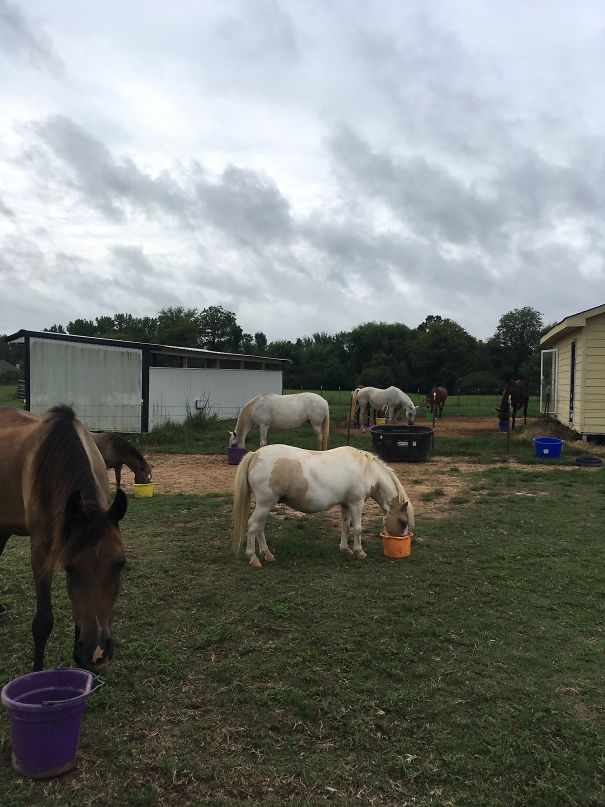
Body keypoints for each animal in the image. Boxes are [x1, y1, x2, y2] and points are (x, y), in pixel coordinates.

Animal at [0, 406, 127, 671]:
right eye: (69, 567)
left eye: (120, 564)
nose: (97, 650)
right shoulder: (41, 551)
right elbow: (43, 622)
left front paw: (84, 662)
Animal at [232, 444, 414, 568]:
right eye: (403, 522)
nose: (401, 540)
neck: (367, 471)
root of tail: (255, 455)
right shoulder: (357, 503)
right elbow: (357, 528)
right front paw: (360, 552)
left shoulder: (346, 504)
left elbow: (345, 526)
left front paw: (345, 549)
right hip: (265, 503)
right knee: (253, 525)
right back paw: (253, 558)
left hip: (266, 505)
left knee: (259, 527)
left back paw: (267, 554)